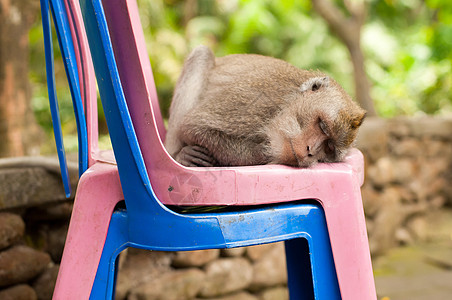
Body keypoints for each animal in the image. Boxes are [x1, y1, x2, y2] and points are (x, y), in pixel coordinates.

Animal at [164, 45, 366, 168]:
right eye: (322, 126)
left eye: (329, 148)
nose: (310, 152)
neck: (286, 102)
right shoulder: (257, 100)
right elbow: (193, 124)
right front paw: (267, 154)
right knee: (202, 55)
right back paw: (177, 156)